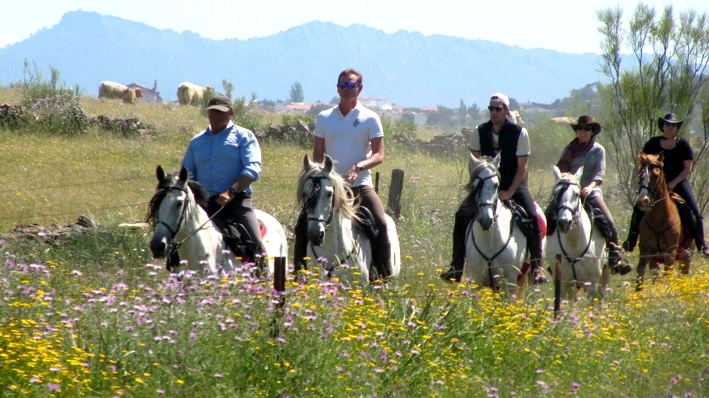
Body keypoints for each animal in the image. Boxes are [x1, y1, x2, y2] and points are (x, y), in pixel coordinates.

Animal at [462, 154, 540, 296]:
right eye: (475, 186)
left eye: (496, 185)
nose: (486, 220)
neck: (489, 241)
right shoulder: (475, 281)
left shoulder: (509, 284)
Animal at [544, 166, 604, 302]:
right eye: (555, 194)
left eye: (577, 194)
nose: (564, 223)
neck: (574, 243)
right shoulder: (562, 284)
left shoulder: (591, 284)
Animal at [632, 151, 688, 290]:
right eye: (640, 176)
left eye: (656, 176)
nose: (643, 201)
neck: (659, 219)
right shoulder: (646, 250)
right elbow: (640, 271)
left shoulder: (671, 252)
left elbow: (668, 273)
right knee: (655, 273)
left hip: (686, 254)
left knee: (684, 272)